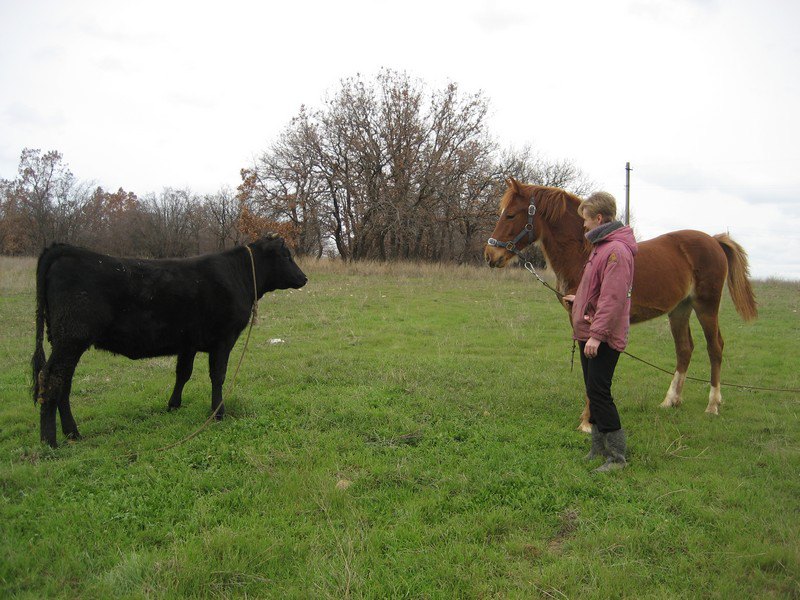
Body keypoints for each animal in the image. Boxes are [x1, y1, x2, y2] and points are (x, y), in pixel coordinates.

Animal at [31, 234, 306, 446]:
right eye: (286, 256)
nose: (304, 278)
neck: (238, 275)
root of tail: (64, 249)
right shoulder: (223, 339)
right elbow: (218, 376)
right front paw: (218, 413)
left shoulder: (189, 343)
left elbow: (183, 373)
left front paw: (173, 405)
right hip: (71, 339)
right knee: (51, 379)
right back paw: (50, 441)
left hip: (64, 341)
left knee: (63, 382)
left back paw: (71, 433)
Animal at [488, 178, 756, 432]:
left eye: (510, 214)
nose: (490, 255)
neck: (584, 254)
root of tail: (713, 240)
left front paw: (587, 422)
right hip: (680, 309)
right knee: (684, 349)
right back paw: (670, 401)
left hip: (706, 306)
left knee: (715, 347)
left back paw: (713, 405)